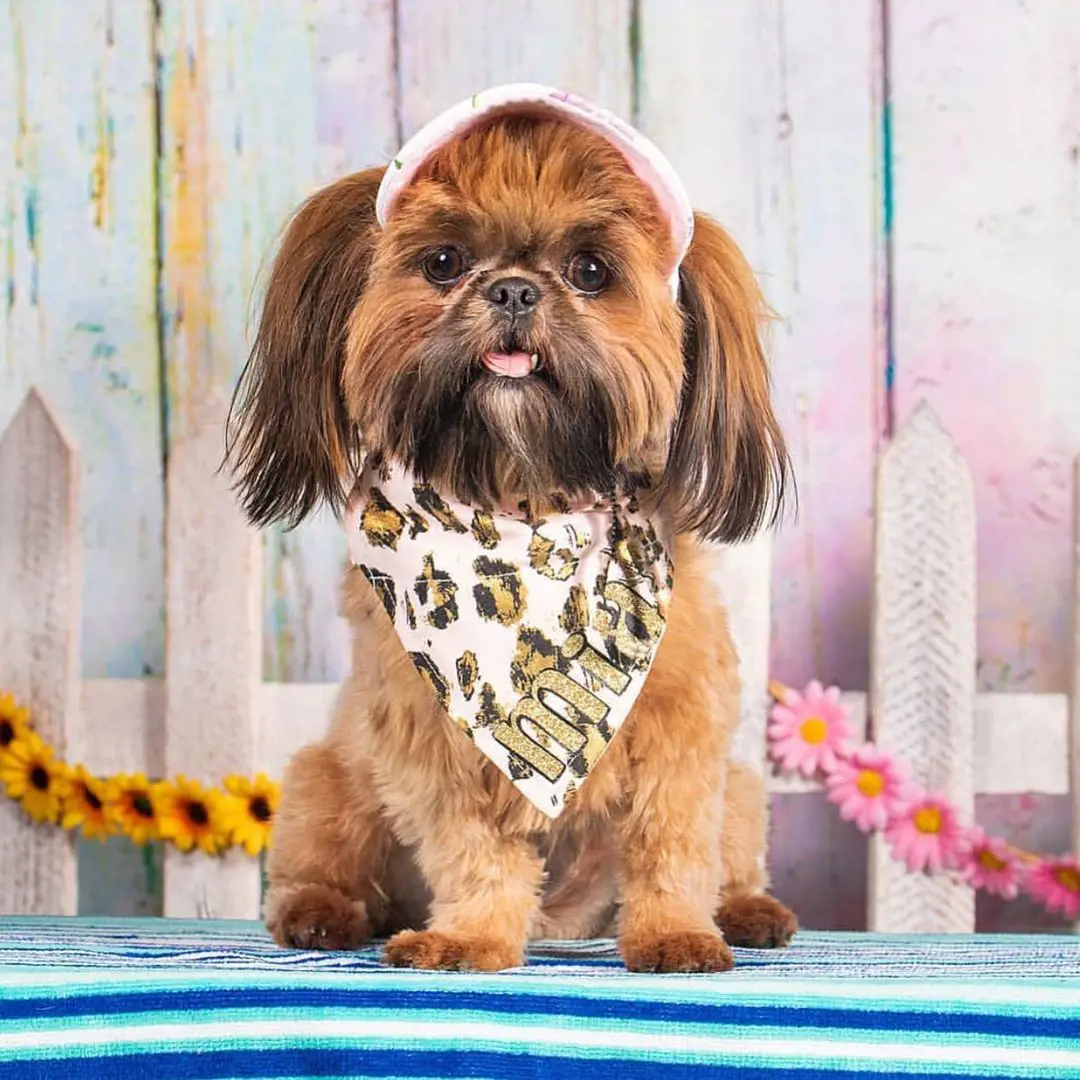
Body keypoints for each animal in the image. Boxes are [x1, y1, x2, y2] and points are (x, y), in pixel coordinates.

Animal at [227, 84, 799, 976]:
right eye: (442, 262)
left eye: (591, 271)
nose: (515, 292)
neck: (523, 504)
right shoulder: (432, 738)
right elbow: (474, 850)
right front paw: (470, 937)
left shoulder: (684, 728)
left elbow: (671, 844)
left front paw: (675, 932)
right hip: (326, 778)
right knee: (321, 863)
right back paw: (322, 913)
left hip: (742, 790)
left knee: (731, 852)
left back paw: (745, 911)